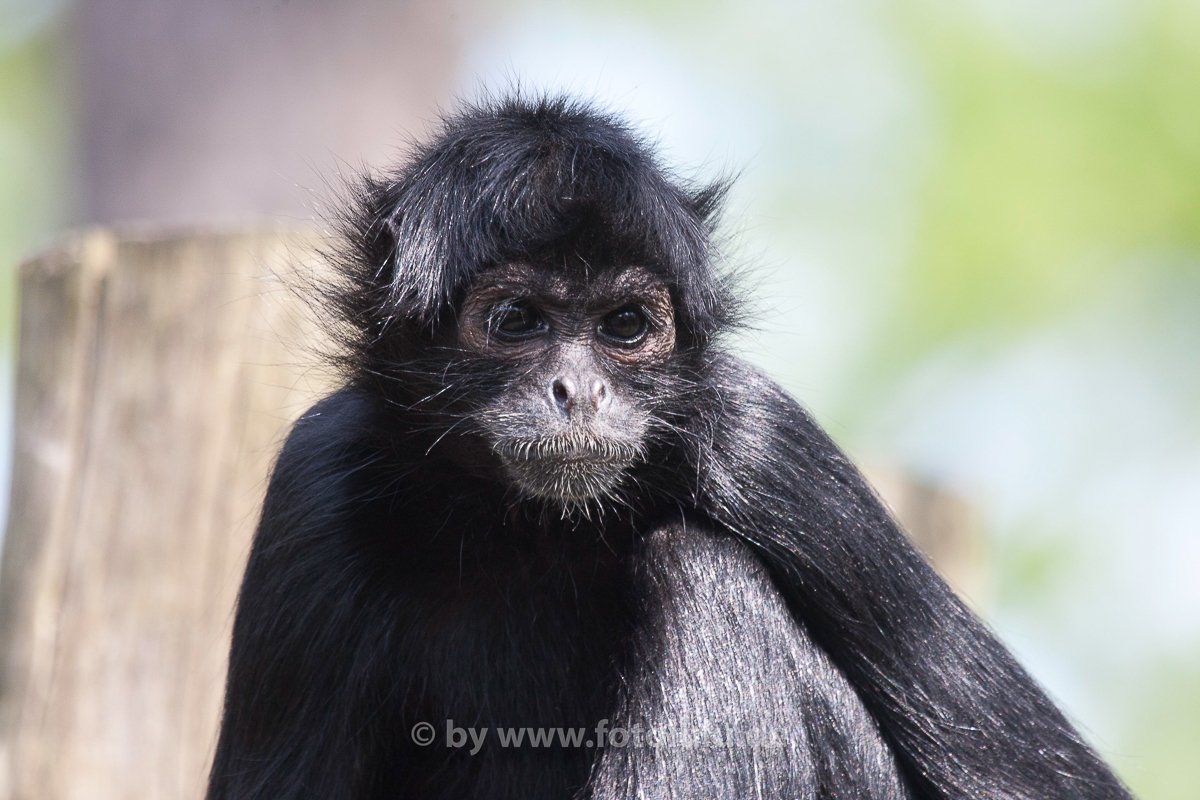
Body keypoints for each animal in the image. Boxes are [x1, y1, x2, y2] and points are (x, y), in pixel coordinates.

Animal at [206, 95, 1132, 799]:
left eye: (624, 326)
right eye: (516, 321)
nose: (577, 392)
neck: (535, 530)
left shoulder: (758, 435)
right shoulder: (320, 475)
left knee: (704, 572)